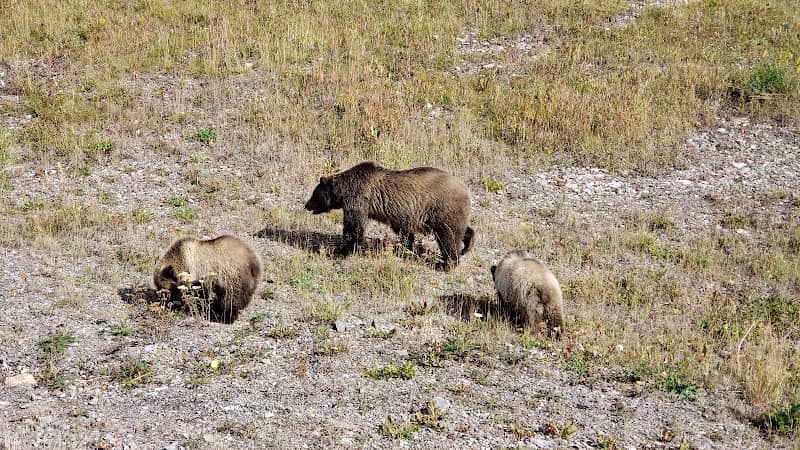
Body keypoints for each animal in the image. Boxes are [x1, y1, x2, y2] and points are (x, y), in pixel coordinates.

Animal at [304, 161, 475, 270]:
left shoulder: (358, 199)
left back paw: (447, 264)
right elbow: (403, 230)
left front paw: (343, 251)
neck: (343, 191)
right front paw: (407, 244)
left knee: (448, 237)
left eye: (314, 194)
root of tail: (465, 189)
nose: (306, 205)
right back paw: (467, 245)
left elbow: (354, 227)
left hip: (442, 209)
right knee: (459, 230)